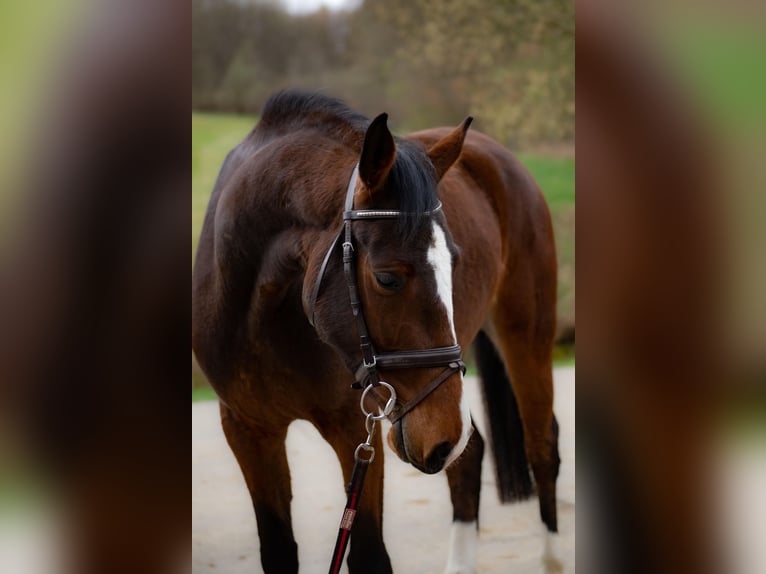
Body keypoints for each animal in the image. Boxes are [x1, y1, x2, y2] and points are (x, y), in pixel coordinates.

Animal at [192, 91, 560, 573]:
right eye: (387, 278)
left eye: (455, 262)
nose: (442, 436)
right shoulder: (247, 428)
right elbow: (277, 549)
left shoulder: (354, 429)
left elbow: (368, 553)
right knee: (470, 454)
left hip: (525, 337)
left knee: (541, 445)